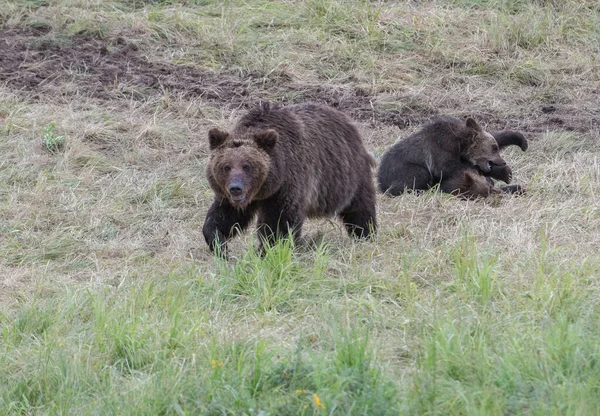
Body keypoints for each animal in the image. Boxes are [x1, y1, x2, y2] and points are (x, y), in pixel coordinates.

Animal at [204, 102, 378, 255]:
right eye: (226, 166)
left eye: (247, 166)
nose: (236, 188)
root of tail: (348, 120)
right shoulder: (232, 196)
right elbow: (223, 216)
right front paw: (220, 245)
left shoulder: (287, 184)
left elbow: (280, 223)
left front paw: (268, 250)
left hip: (347, 175)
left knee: (359, 208)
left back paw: (366, 234)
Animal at [378, 116, 528, 199]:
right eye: (494, 147)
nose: (502, 162)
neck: (460, 146)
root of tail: (380, 181)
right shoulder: (439, 151)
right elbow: (451, 168)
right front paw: (503, 173)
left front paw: (520, 139)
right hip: (403, 171)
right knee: (418, 177)